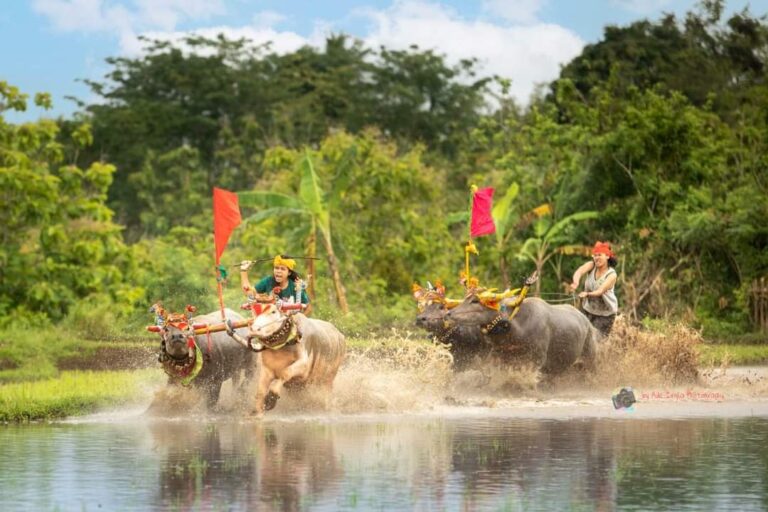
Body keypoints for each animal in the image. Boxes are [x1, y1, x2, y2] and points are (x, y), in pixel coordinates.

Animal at [444, 294, 600, 374]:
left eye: (475, 300)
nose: (448, 313)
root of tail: (589, 325)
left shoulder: (537, 358)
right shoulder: (498, 355)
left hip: (590, 360)